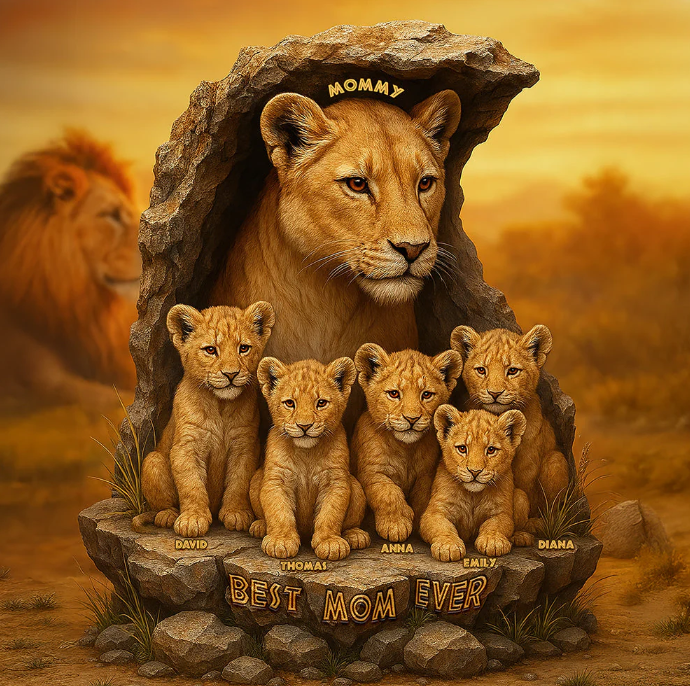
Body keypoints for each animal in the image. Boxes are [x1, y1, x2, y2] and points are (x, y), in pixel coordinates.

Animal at [132, 301, 275, 537]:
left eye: (243, 348)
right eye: (210, 350)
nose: (231, 374)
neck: (220, 405)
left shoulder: (244, 445)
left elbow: (239, 481)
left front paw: (236, 513)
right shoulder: (186, 447)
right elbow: (191, 485)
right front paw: (193, 519)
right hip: (153, 460)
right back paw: (167, 515)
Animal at [249, 356, 370, 560]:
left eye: (321, 403)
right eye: (290, 403)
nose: (304, 426)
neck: (306, 453)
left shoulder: (335, 482)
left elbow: (330, 514)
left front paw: (330, 543)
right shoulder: (276, 480)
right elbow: (279, 512)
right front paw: (281, 541)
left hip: (356, 486)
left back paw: (355, 535)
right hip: (256, 478)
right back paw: (260, 527)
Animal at [352, 344, 463, 542]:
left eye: (426, 394)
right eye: (394, 393)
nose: (412, 419)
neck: (406, 448)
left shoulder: (426, 474)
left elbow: (422, 497)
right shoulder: (372, 472)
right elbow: (388, 493)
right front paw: (396, 526)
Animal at [420, 406, 527, 561]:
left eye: (491, 450)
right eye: (462, 448)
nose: (475, 471)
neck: (473, 495)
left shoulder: (501, 512)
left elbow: (495, 525)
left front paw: (492, 541)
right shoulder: (435, 511)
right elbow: (443, 527)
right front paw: (448, 546)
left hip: (521, 495)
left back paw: (521, 537)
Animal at [450, 325, 570, 537]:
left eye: (512, 371)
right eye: (481, 370)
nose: (495, 393)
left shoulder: (526, 469)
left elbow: (521, 496)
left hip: (556, 460)